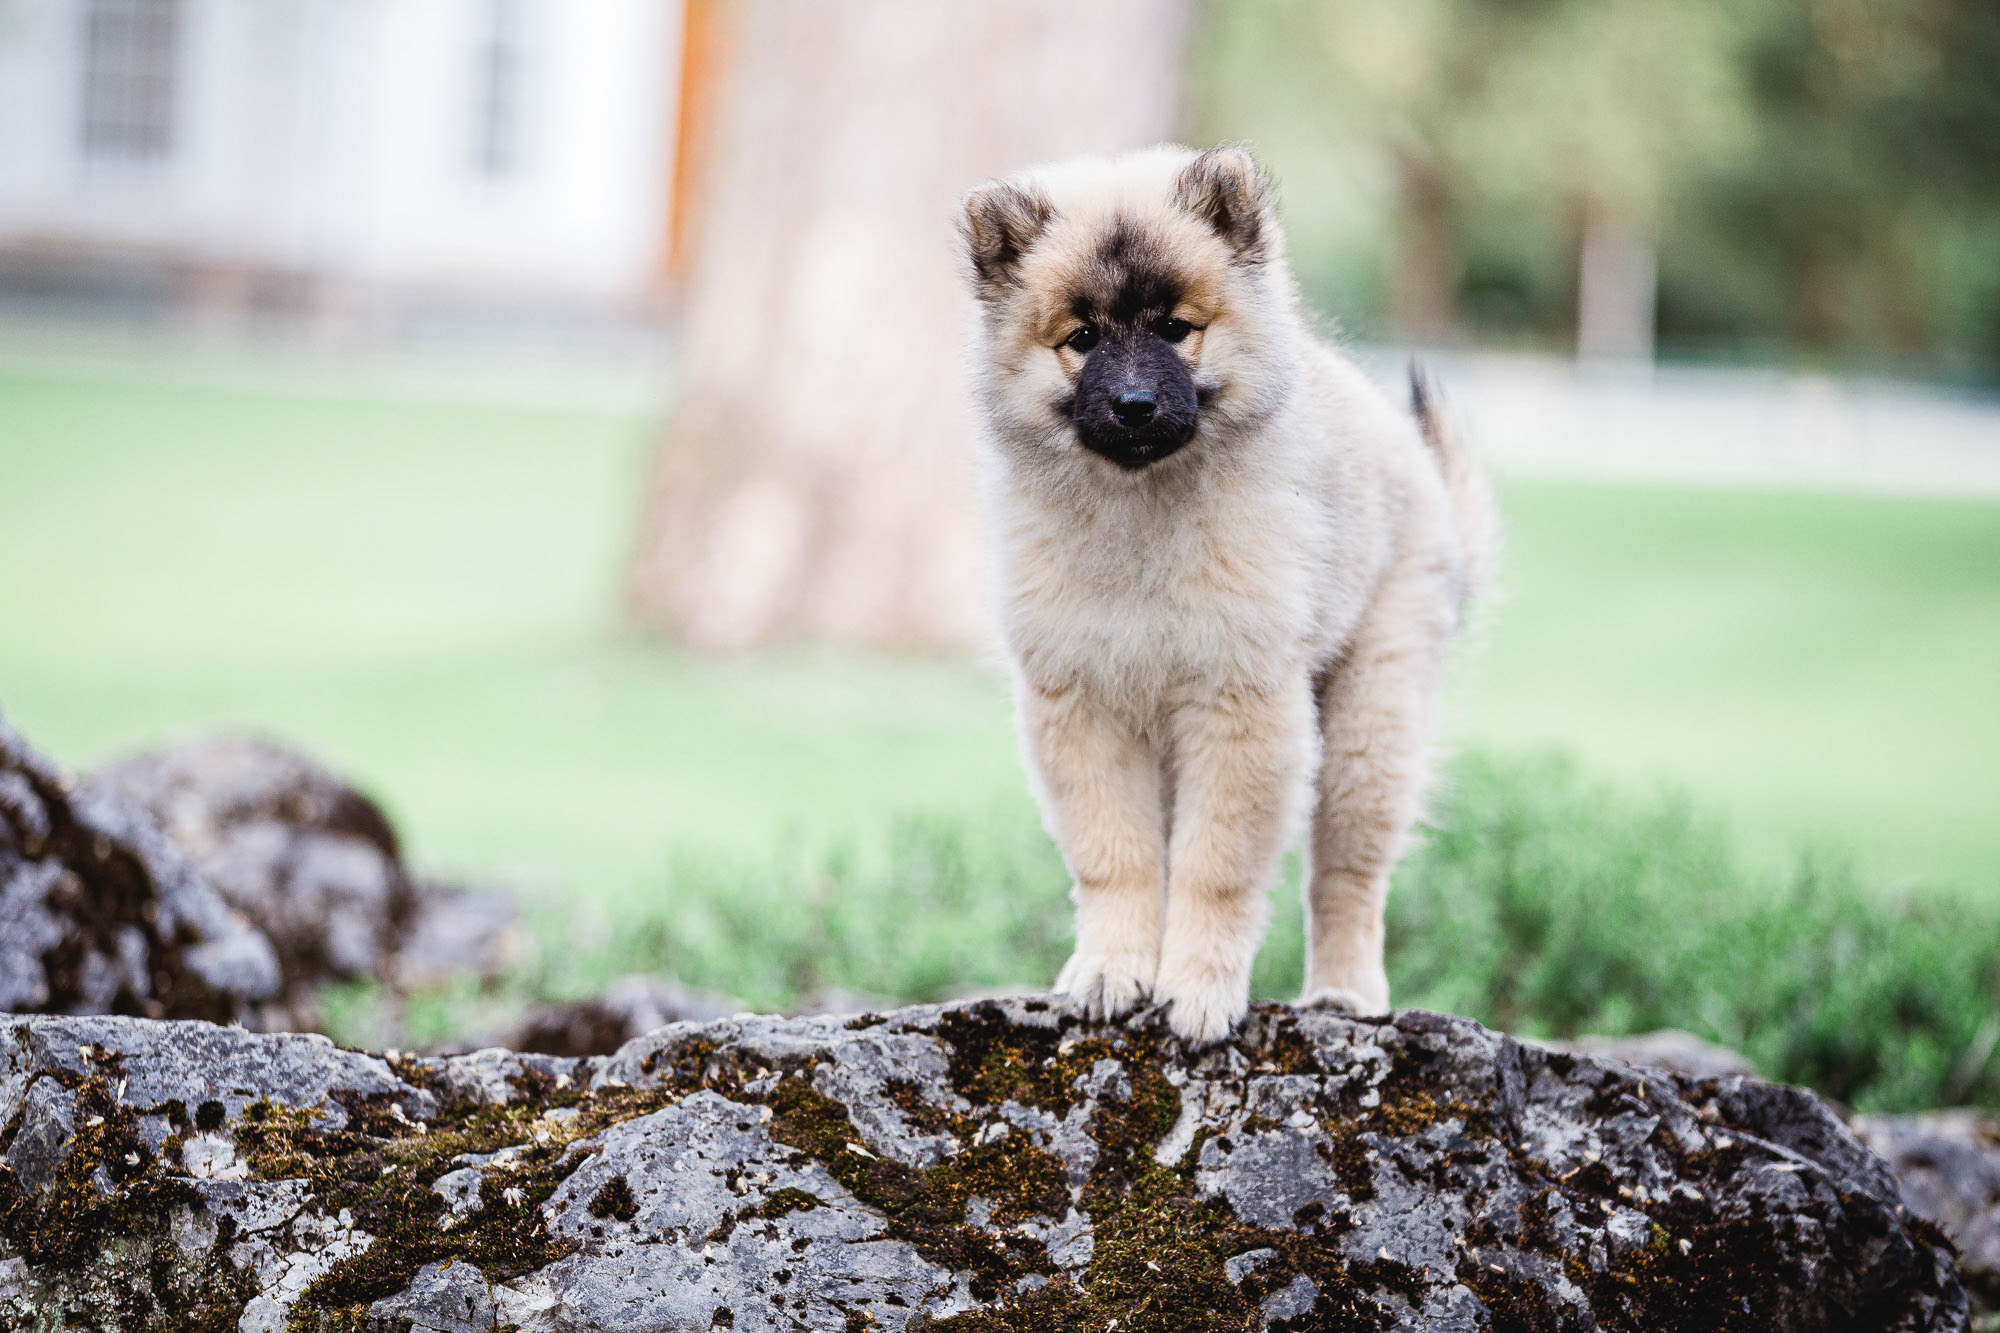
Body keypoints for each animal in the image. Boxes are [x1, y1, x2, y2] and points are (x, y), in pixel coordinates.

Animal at [960, 145, 1496, 1040]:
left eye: (1177, 328)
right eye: (1082, 338)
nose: (1135, 404)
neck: (1142, 510)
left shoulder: (1238, 706)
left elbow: (1215, 868)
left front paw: (1198, 990)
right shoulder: (1086, 709)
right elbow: (1117, 859)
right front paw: (1112, 971)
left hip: (1368, 727)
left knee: (1348, 878)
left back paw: (1344, 994)